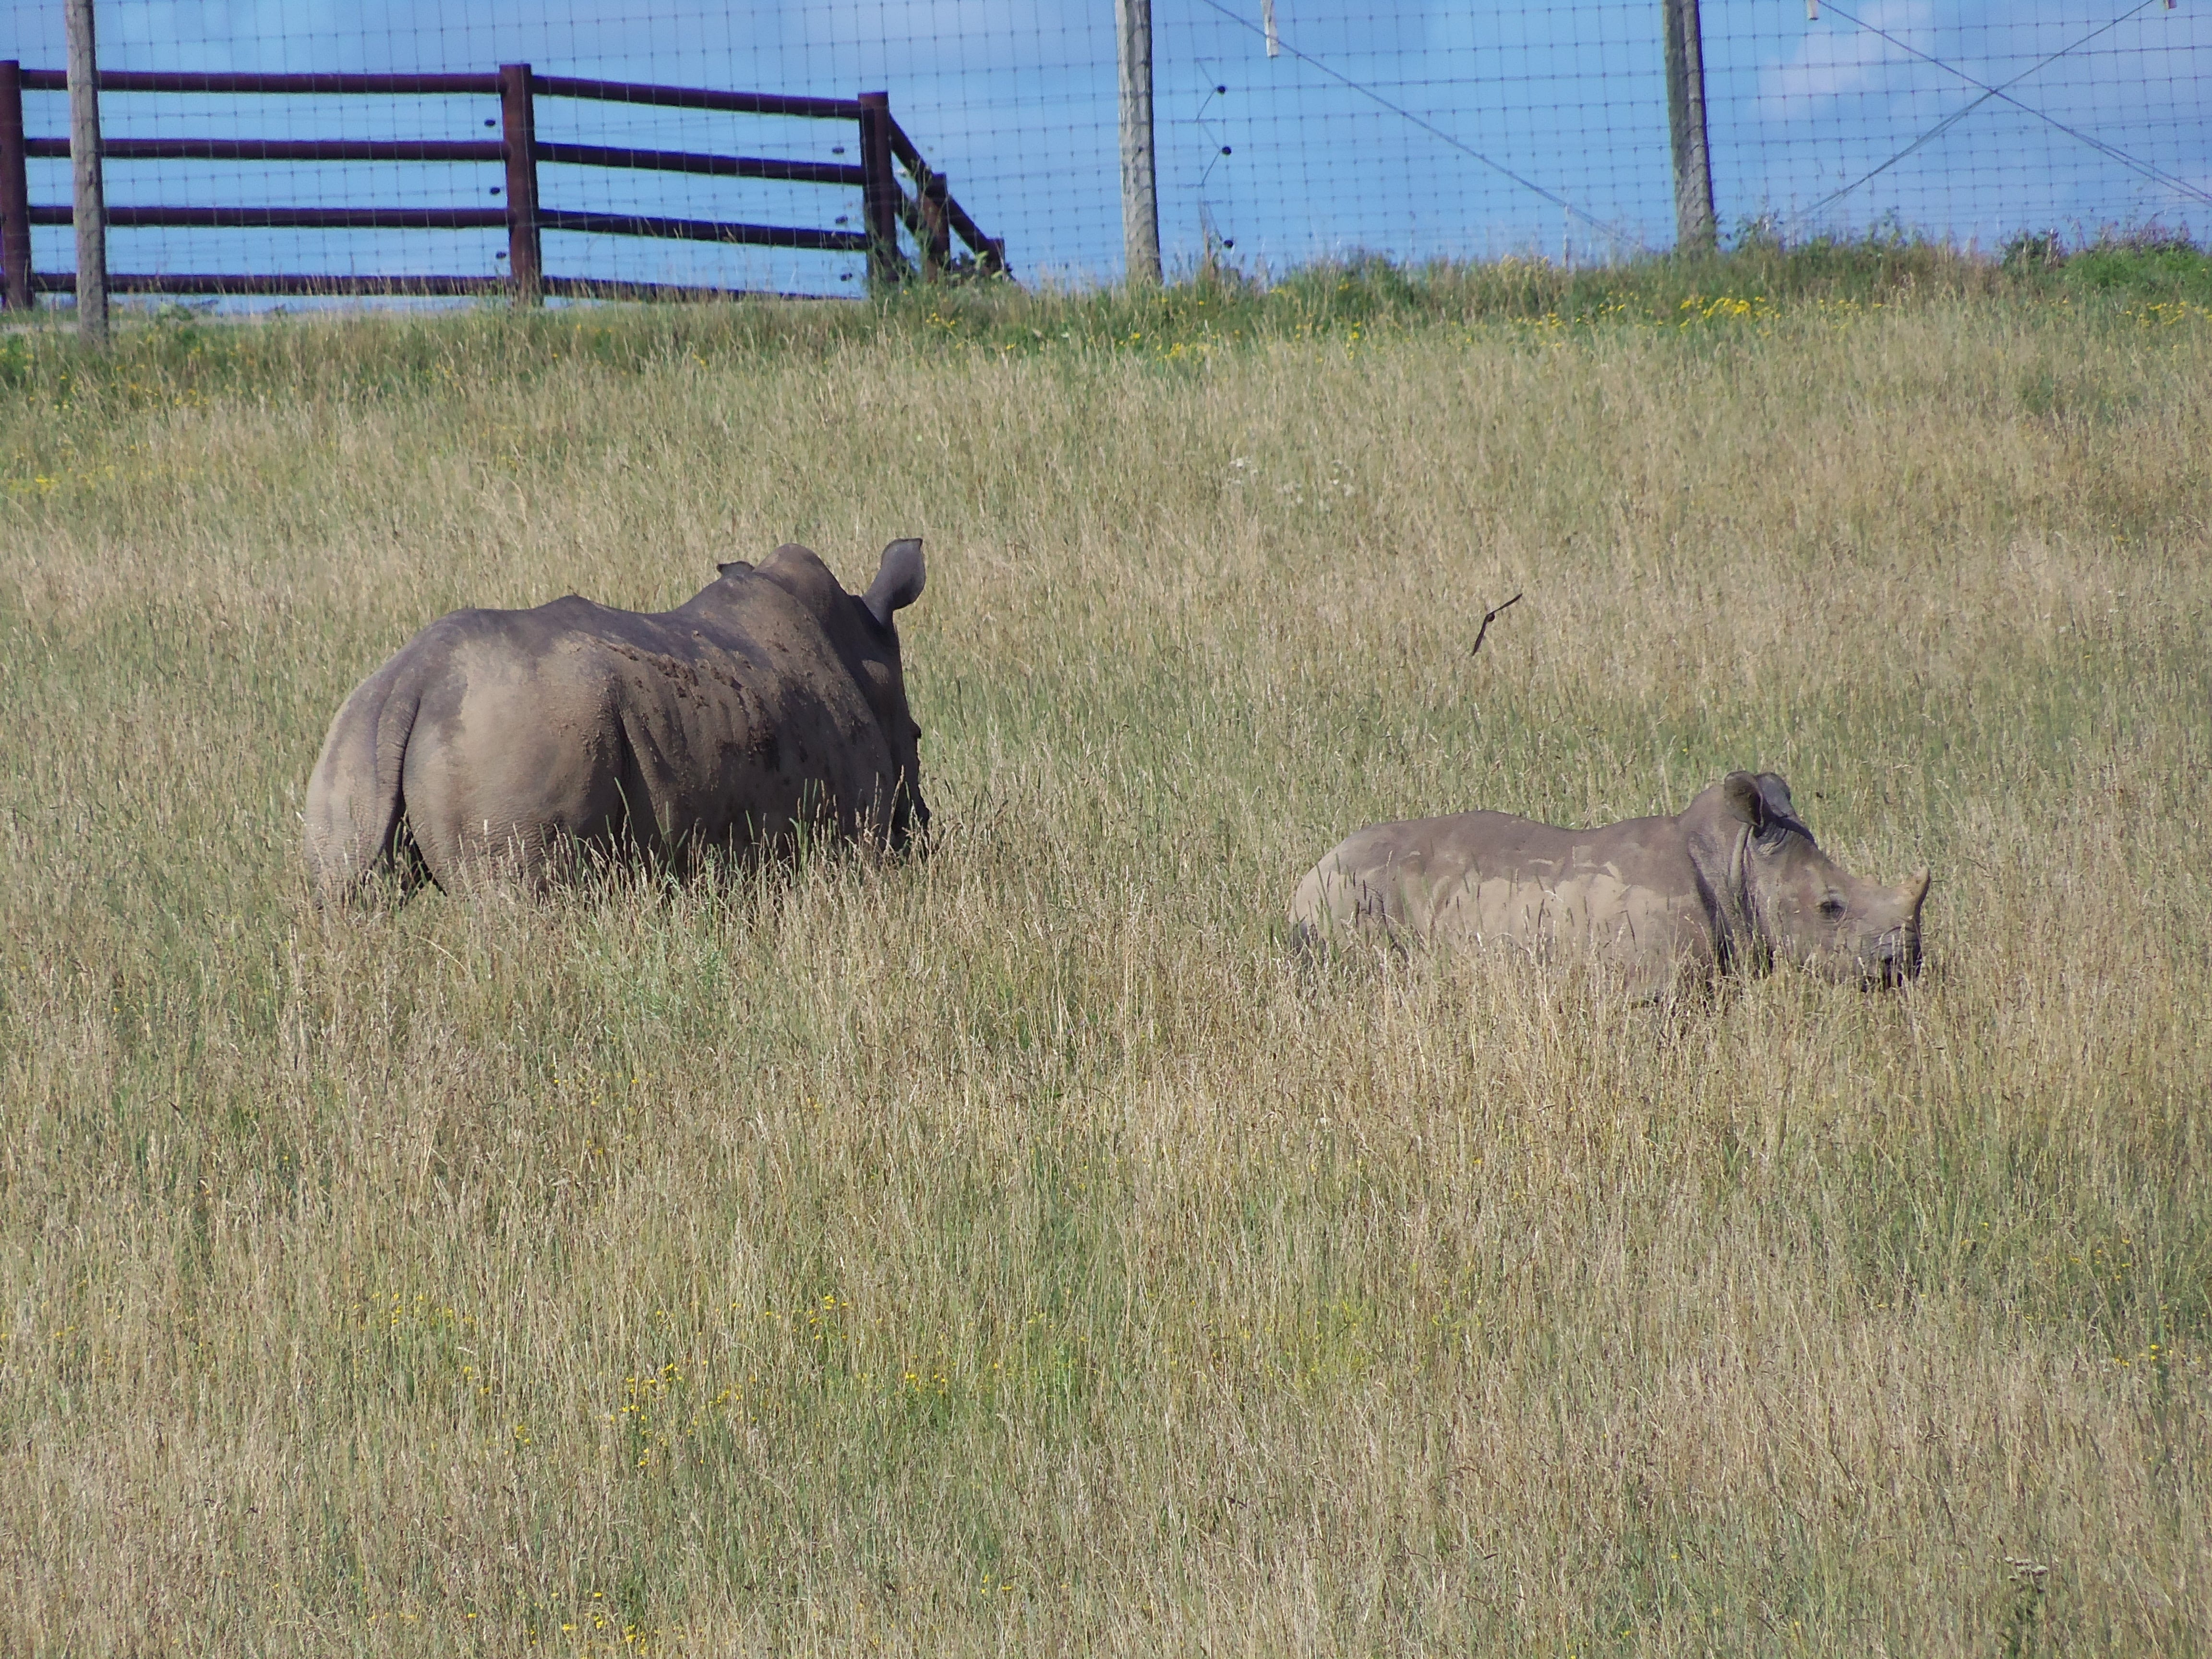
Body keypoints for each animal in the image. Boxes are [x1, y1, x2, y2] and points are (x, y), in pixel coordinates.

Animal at [304, 538, 929, 904]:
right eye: (920, 736)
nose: (922, 833)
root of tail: (415, 678)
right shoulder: (849, 835)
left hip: (354, 740)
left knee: (344, 898)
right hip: (513, 742)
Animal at [1289, 772, 1927, 994]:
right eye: (1830, 907)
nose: (1906, 966)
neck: (1734, 859)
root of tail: (1311, 870)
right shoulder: (1650, 987)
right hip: (1348, 897)